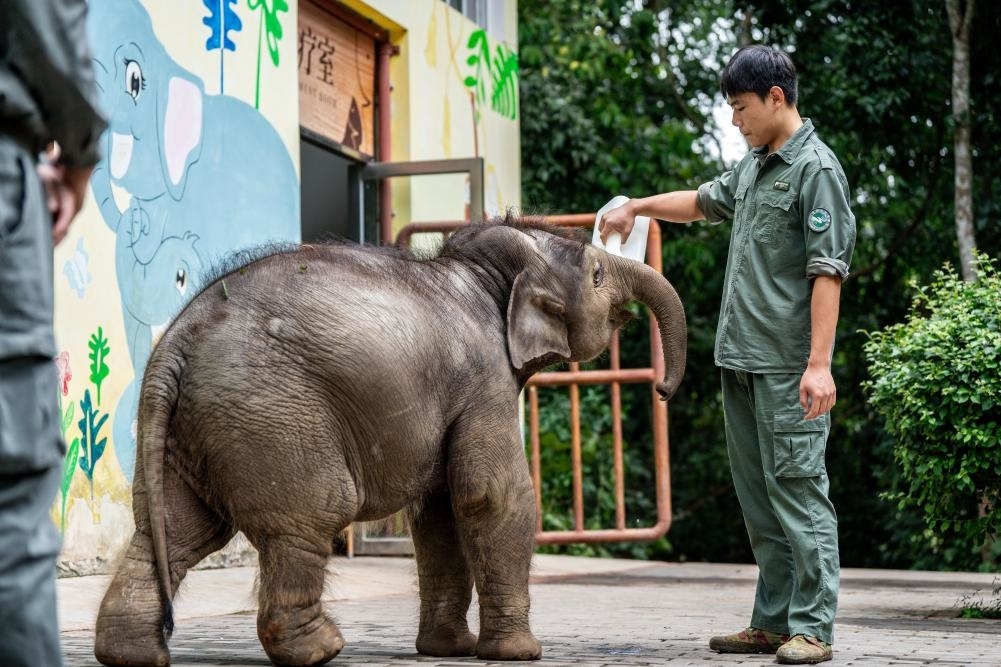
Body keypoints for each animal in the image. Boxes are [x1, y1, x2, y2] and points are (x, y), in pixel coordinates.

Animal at [94, 215, 684, 660]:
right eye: (599, 273)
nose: (662, 389)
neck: (484, 270)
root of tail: (177, 341)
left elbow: (442, 512)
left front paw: (449, 650)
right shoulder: (485, 378)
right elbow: (491, 497)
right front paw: (519, 654)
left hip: (189, 429)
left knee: (176, 529)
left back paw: (131, 655)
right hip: (272, 417)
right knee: (310, 516)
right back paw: (321, 649)